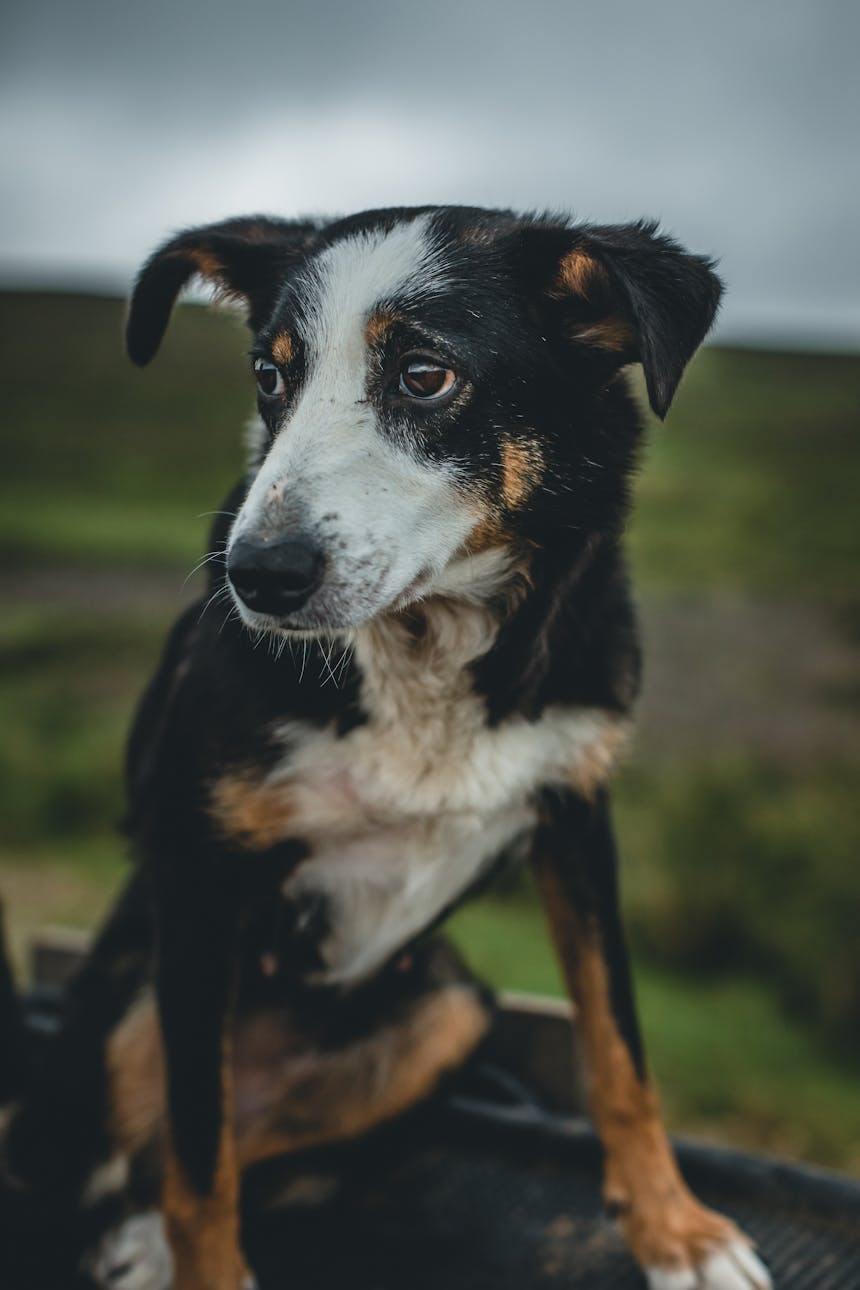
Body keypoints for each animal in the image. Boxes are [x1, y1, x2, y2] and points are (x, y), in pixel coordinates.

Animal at [0, 203, 768, 1290]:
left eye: (423, 373)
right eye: (268, 374)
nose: (254, 576)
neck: (422, 646)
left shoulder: (576, 814)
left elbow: (620, 1048)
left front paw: (677, 1233)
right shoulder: (201, 882)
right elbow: (200, 1156)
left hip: (446, 1013)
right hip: (125, 1023)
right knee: (147, 1153)